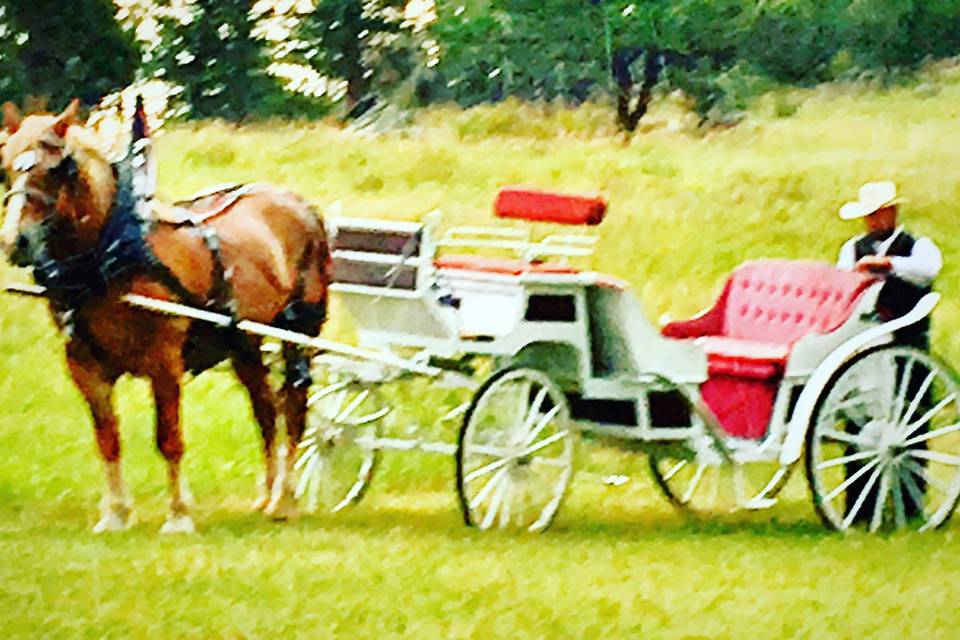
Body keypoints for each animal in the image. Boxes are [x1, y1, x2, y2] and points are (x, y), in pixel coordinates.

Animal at [0, 101, 330, 528]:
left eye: (57, 169)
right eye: (5, 167)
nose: (15, 241)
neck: (111, 257)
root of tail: (301, 205)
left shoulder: (164, 360)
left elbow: (168, 438)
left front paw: (178, 514)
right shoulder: (83, 363)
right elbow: (108, 439)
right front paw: (115, 513)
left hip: (299, 332)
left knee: (293, 407)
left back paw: (284, 500)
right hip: (243, 341)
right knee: (265, 409)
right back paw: (266, 493)